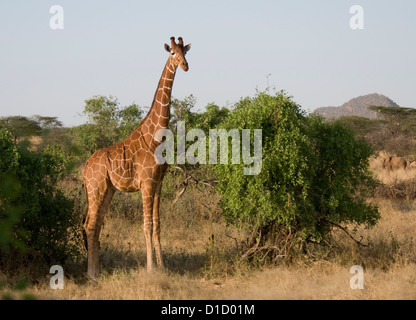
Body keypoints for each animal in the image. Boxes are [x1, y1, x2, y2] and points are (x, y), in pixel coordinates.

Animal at [83, 36, 193, 278]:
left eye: (186, 52)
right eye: (172, 52)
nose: (185, 65)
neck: (155, 137)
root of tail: (85, 168)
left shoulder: (158, 183)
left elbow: (158, 225)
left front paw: (163, 267)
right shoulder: (146, 183)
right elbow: (146, 226)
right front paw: (151, 268)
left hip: (107, 190)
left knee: (96, 224)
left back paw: (97, 271)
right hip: (96, 188)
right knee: (90, 224)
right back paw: (91, 274)